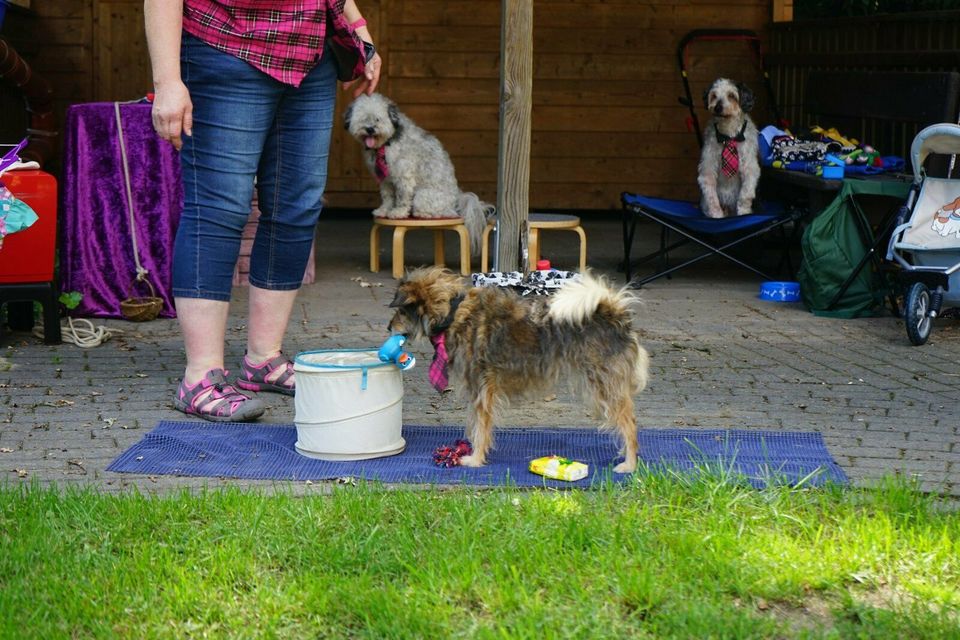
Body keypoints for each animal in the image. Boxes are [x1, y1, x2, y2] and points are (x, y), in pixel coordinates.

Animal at [344, 92, 492, 250]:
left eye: (378, 119)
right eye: (363, 118)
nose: (370, 129)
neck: (387, 142)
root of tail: (457, 199)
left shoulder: (404, 176)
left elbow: (402, 197)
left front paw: (398, 212)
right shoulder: (385, 180)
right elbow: (388, 197)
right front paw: (384, 210)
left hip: (422, 196)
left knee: (439, 212)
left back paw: (422, 213)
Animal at [386, 268, 648, 472]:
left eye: (401, 311)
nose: (388, 327)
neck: (453, 311)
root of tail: (615, 313)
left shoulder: (483, 388)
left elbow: (481, 426)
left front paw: (475, 459)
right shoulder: (477, 390)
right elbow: (474, 424)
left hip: (605, 386)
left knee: (629, 423)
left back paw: (629, 464)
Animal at [692, 76, 760, 218]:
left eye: (731, 95)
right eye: (714, 96)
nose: (717, 108)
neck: (728, 135)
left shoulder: (750, 168)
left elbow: (745, 195)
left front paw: (744, 213)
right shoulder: (707, 169)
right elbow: (711, 197)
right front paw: (717, 215)